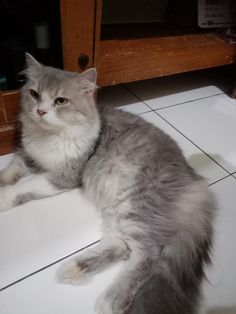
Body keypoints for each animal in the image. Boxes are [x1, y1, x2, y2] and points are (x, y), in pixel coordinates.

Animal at [0, 54, 214, 314]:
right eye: (34, 94)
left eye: (60, 101)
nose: (40, 111)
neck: (48, 138)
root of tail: (195, 181)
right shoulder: (28, 156)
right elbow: (10, 172)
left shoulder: (63, 176)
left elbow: (22, 187)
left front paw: (2, 197)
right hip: (116, 209)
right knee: (121, 247)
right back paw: (75, 269)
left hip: (135, 207)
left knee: (147, 254)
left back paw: (112, 300)